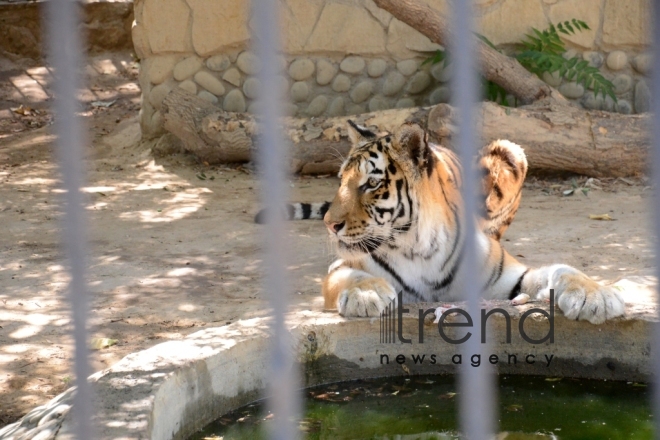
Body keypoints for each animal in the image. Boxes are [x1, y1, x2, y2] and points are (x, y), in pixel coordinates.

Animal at [258, 120, 624, 324]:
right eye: (340, 181)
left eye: (371, 183)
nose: (329, 224)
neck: (417, 246)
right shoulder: (343, 265)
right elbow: (351, 277)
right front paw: (367, 295)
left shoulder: (510, 277)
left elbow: (563, 269)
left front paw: (597, 296)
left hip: (510, 151)